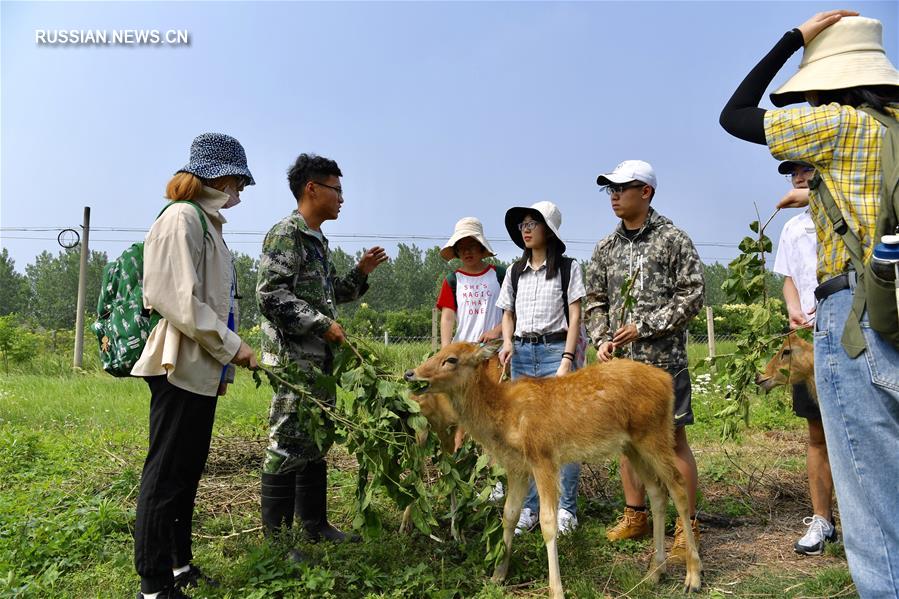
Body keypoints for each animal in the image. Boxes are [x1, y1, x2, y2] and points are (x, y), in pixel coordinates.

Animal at [408, 342, 704, 599]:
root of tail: (666, 381)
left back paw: (693, 576)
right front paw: (497, 575)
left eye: (451, 359)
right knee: (657, 491)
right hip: (632, 445)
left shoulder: (544, 457)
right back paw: (655, 572)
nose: (411, 373)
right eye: (439, 352)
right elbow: (509, 515)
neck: (505, 418)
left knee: (678, 486)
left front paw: (556, 590)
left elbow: (548, 523)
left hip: (655, 433)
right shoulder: (517, 466)